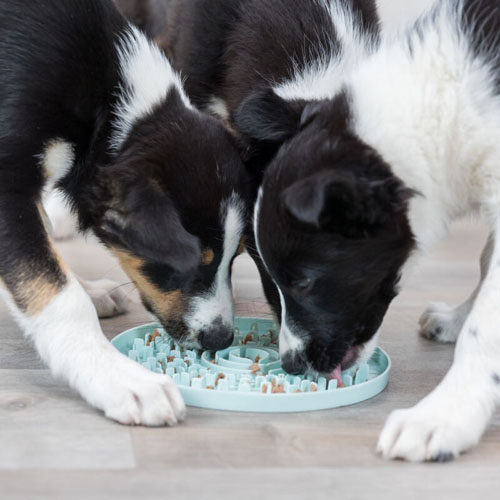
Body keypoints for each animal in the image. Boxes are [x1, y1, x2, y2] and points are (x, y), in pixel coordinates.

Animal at [0, 0, 250, 426]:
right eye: (187, 265)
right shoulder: (7, 186)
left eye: (235, 257)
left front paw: (87, 287)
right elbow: (57, 293)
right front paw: (118, 379)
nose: (220, 339)